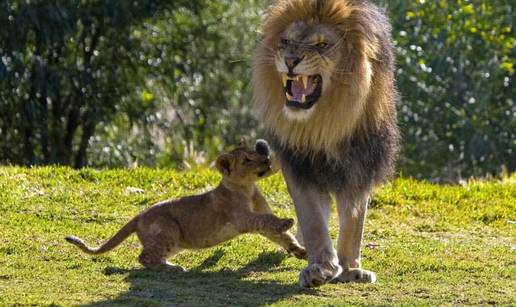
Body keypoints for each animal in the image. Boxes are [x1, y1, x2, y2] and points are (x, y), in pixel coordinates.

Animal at [253, 0, 400, 288]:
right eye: (285, 41)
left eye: (322, 45)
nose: (290, 60)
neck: (324, 125)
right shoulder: (301, 169)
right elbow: (313, 221)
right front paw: (320, 267)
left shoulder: (361, 169)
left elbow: (353, 224)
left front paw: (351, 269)